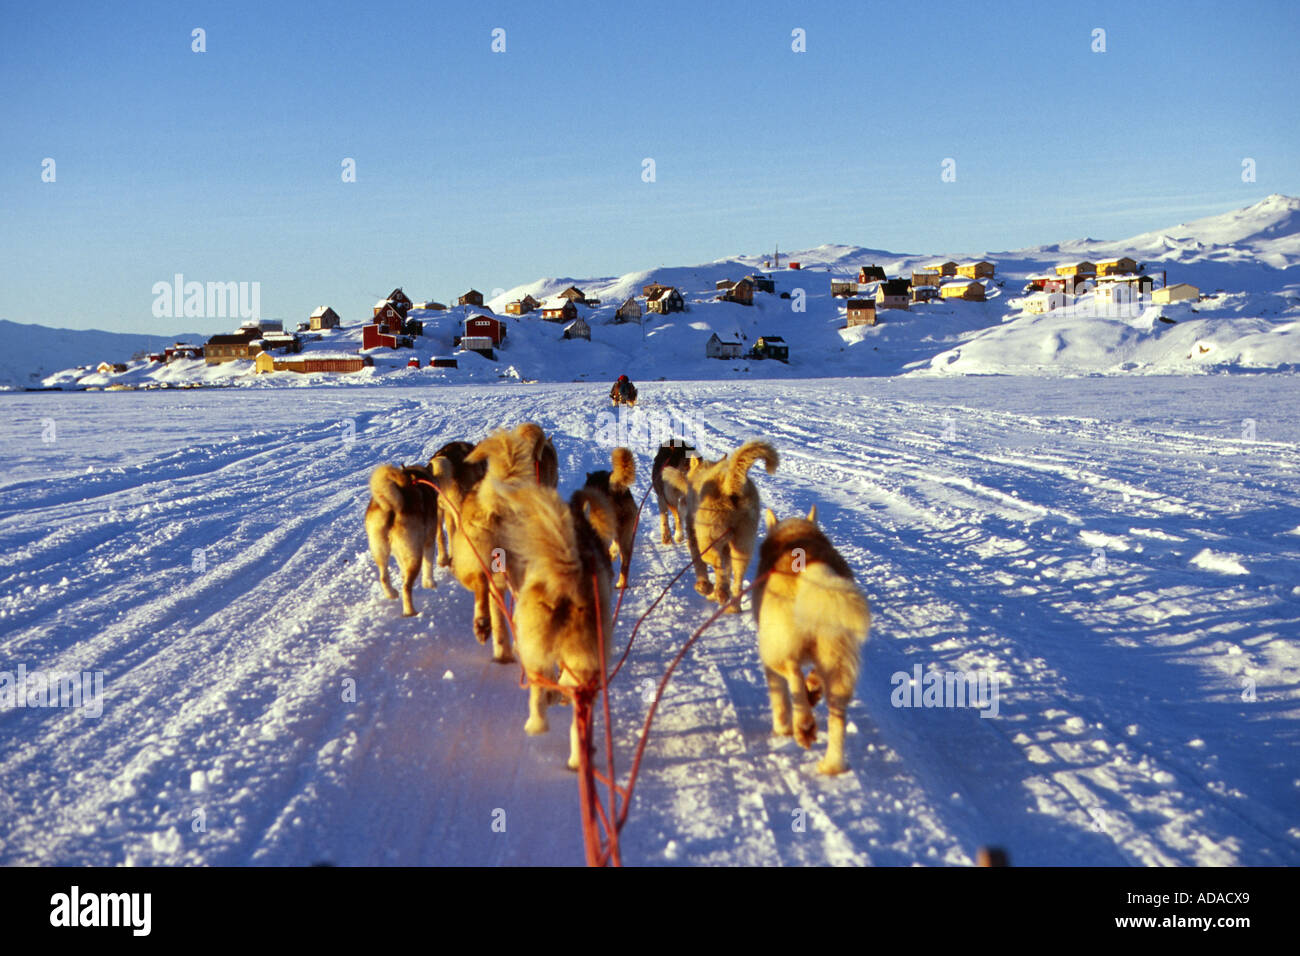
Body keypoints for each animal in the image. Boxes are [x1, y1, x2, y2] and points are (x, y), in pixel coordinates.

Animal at [665, 442, 774, 613]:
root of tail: (730, 484)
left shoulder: (695, 537)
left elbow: (700, 565)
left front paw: (705, 587)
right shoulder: (727, 549)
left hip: (708, 541)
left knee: (717, 565)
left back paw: (720, 593)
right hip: (742, 547)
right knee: (737, 581)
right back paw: (732, 605)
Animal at [754, 509, 873, 780]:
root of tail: (811, 571)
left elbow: (780, 698)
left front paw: (782, 728)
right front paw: (813, 688)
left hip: (775, 650)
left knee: (793, 675)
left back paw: (802, 726)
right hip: (837, 659)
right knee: (837, 719)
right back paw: (832, 765)